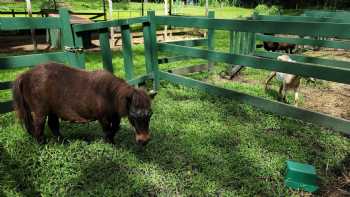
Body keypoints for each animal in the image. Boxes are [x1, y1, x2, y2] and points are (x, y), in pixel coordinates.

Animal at [12, 62, 154, 145]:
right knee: (39, 127)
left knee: (53, 125)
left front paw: (111, 141)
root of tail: (25, 75)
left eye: (150, 115)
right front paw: (108, 142)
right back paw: (42, 144)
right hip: (41, 112)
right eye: (134, 116)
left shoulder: (115, 115)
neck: (109, 93)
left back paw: (64, 142)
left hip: (53, 110)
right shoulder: (103, 117)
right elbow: (107, 129)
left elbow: (115, 128)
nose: (144, 140)